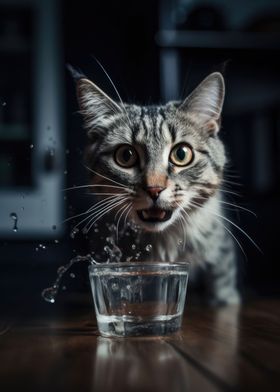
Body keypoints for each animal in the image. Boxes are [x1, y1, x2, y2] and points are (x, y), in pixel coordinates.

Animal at [72, 69, 241, 304]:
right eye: (126, 156)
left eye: (181, 154)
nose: (154, 189)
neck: (163, 243)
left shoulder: (221, 252)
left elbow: (223, 287)